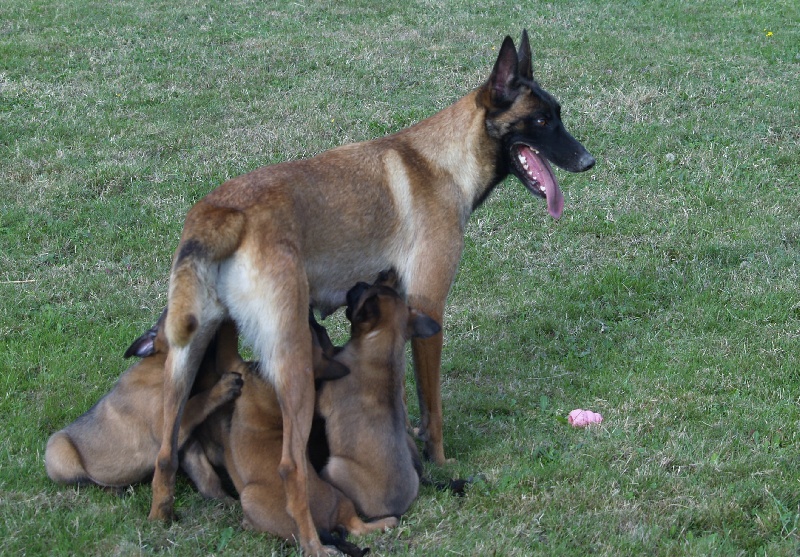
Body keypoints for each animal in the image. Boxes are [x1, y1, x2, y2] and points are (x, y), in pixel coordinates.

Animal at [45, 310, 242, 498]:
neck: (162, 365)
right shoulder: (166, 425)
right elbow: (198, 402)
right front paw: (224, 386)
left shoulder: (184, 442)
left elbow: (206, 475)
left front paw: (225, 500)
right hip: (60, 451)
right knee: (89, 482)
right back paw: (114, 490)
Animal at [195, 319, 397, 554]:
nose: (313, 320)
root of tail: (323, 526)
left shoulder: (233, 364)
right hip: (341, 499)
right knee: (359, 527)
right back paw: (389, 522)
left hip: (249, 496)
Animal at [316, 272, 438, 519]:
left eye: (363, 292)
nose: (360, 283)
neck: (384, 346)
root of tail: (397, 510)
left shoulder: (323, 400)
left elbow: (329, 350)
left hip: (335, 466)